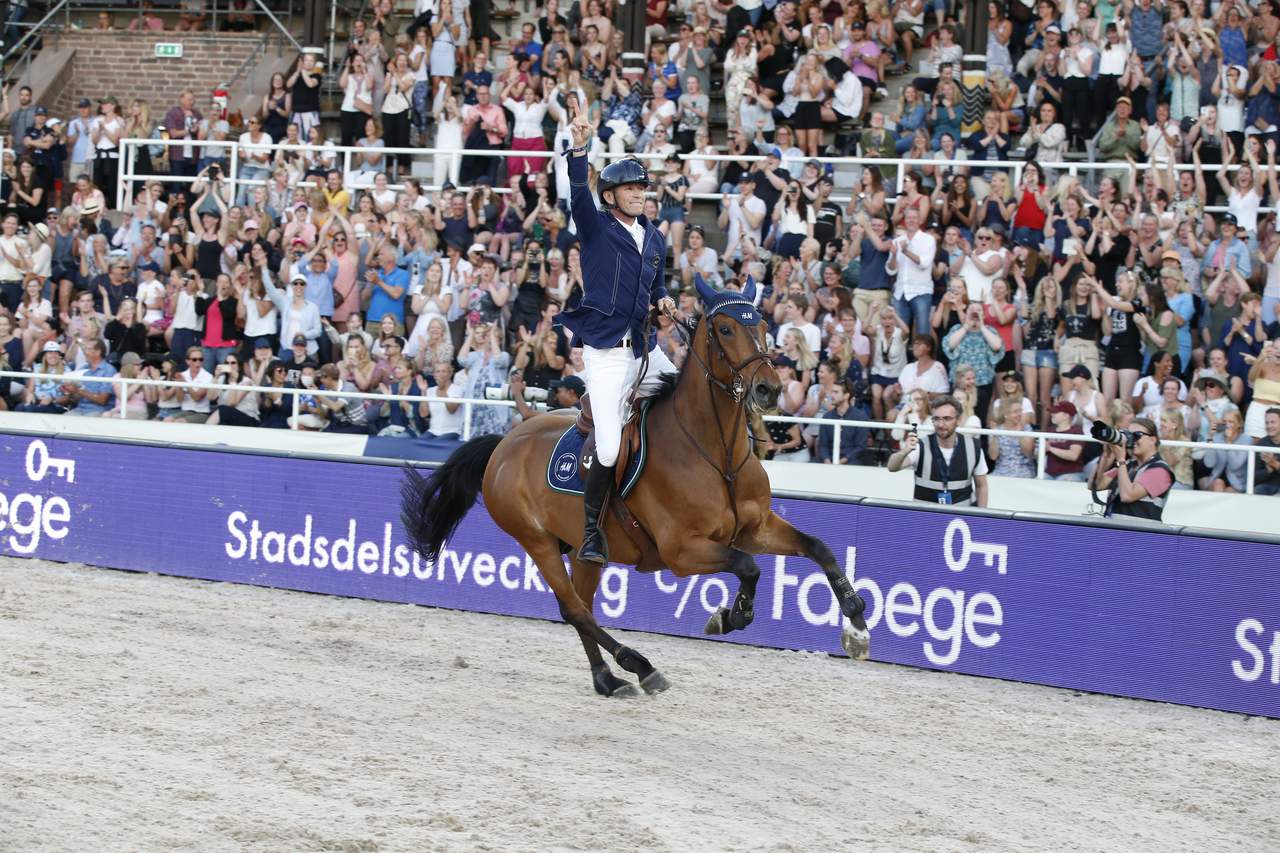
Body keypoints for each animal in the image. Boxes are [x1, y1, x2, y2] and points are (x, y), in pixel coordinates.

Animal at [401, 276, 871, 697]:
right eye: (725, 329)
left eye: (764, 325)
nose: (769, 389)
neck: (716, 455)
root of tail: (505, 442)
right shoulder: (682, 551)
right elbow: (748, 567)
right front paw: (731, 616)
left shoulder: (756, 528)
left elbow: (818, 547)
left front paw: (857, 624)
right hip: (536, 541)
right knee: (574, 608)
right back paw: (638, 666)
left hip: (583, 550)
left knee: (581, 606)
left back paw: (607, 680)